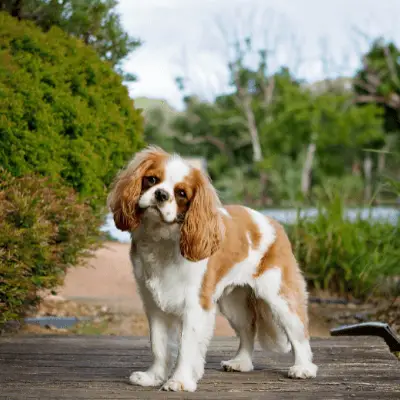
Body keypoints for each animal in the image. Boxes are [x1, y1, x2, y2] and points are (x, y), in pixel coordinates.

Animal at [108, 146, 318, 390]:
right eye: (151, 180)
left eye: (181, 193)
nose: (161, 194)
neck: (162, 239)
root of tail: (273, 222)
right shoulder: (154, 306)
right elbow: (159, 346)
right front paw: (154, 377)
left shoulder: (196, 305)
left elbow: (187, 347)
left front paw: (180, 381)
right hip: (234, 303)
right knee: (248, 329)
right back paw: (241, 363)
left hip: (279, 296)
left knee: (299, 332)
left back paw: (303, 368)